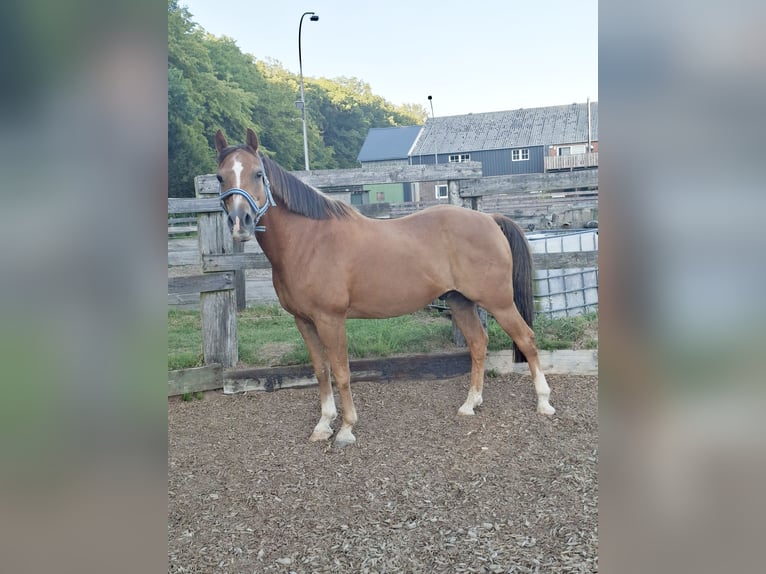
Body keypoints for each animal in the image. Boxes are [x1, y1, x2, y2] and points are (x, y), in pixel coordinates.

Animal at [214, 128, 555, 447]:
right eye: (220, 177)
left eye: (258, 174)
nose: (241, 223)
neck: (308, 240)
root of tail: (489, 219)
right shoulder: (304, 321)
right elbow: (321, 370)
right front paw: (323, 425)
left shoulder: (330, 320)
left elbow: (341, 372)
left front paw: (346, 429)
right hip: (460, 302)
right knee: (478, 343)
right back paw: (470, 404)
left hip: (499, 302)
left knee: (526, 339)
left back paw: (544, 403)